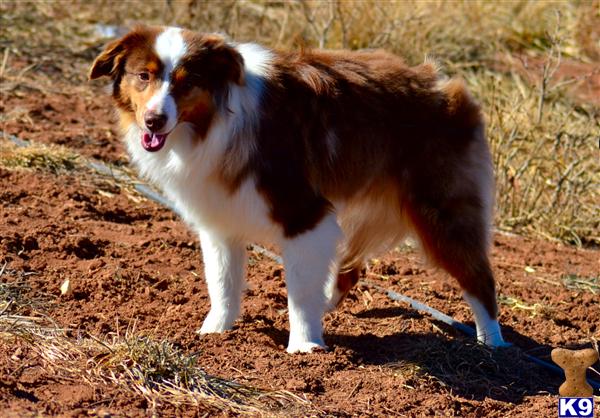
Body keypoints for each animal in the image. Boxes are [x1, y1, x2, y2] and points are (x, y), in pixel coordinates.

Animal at [91, 24, 508, 352]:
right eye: (143, 77)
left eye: (188, 83)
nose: (154, 121)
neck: (213, 121)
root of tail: (447, 85)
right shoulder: (220, 218)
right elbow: (223, 282)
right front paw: (216, 333)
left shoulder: (304, 213)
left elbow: (300, 290)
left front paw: (305, 347)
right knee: (350, 270)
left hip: (442, 210)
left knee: (480, 278)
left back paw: (492, 347)